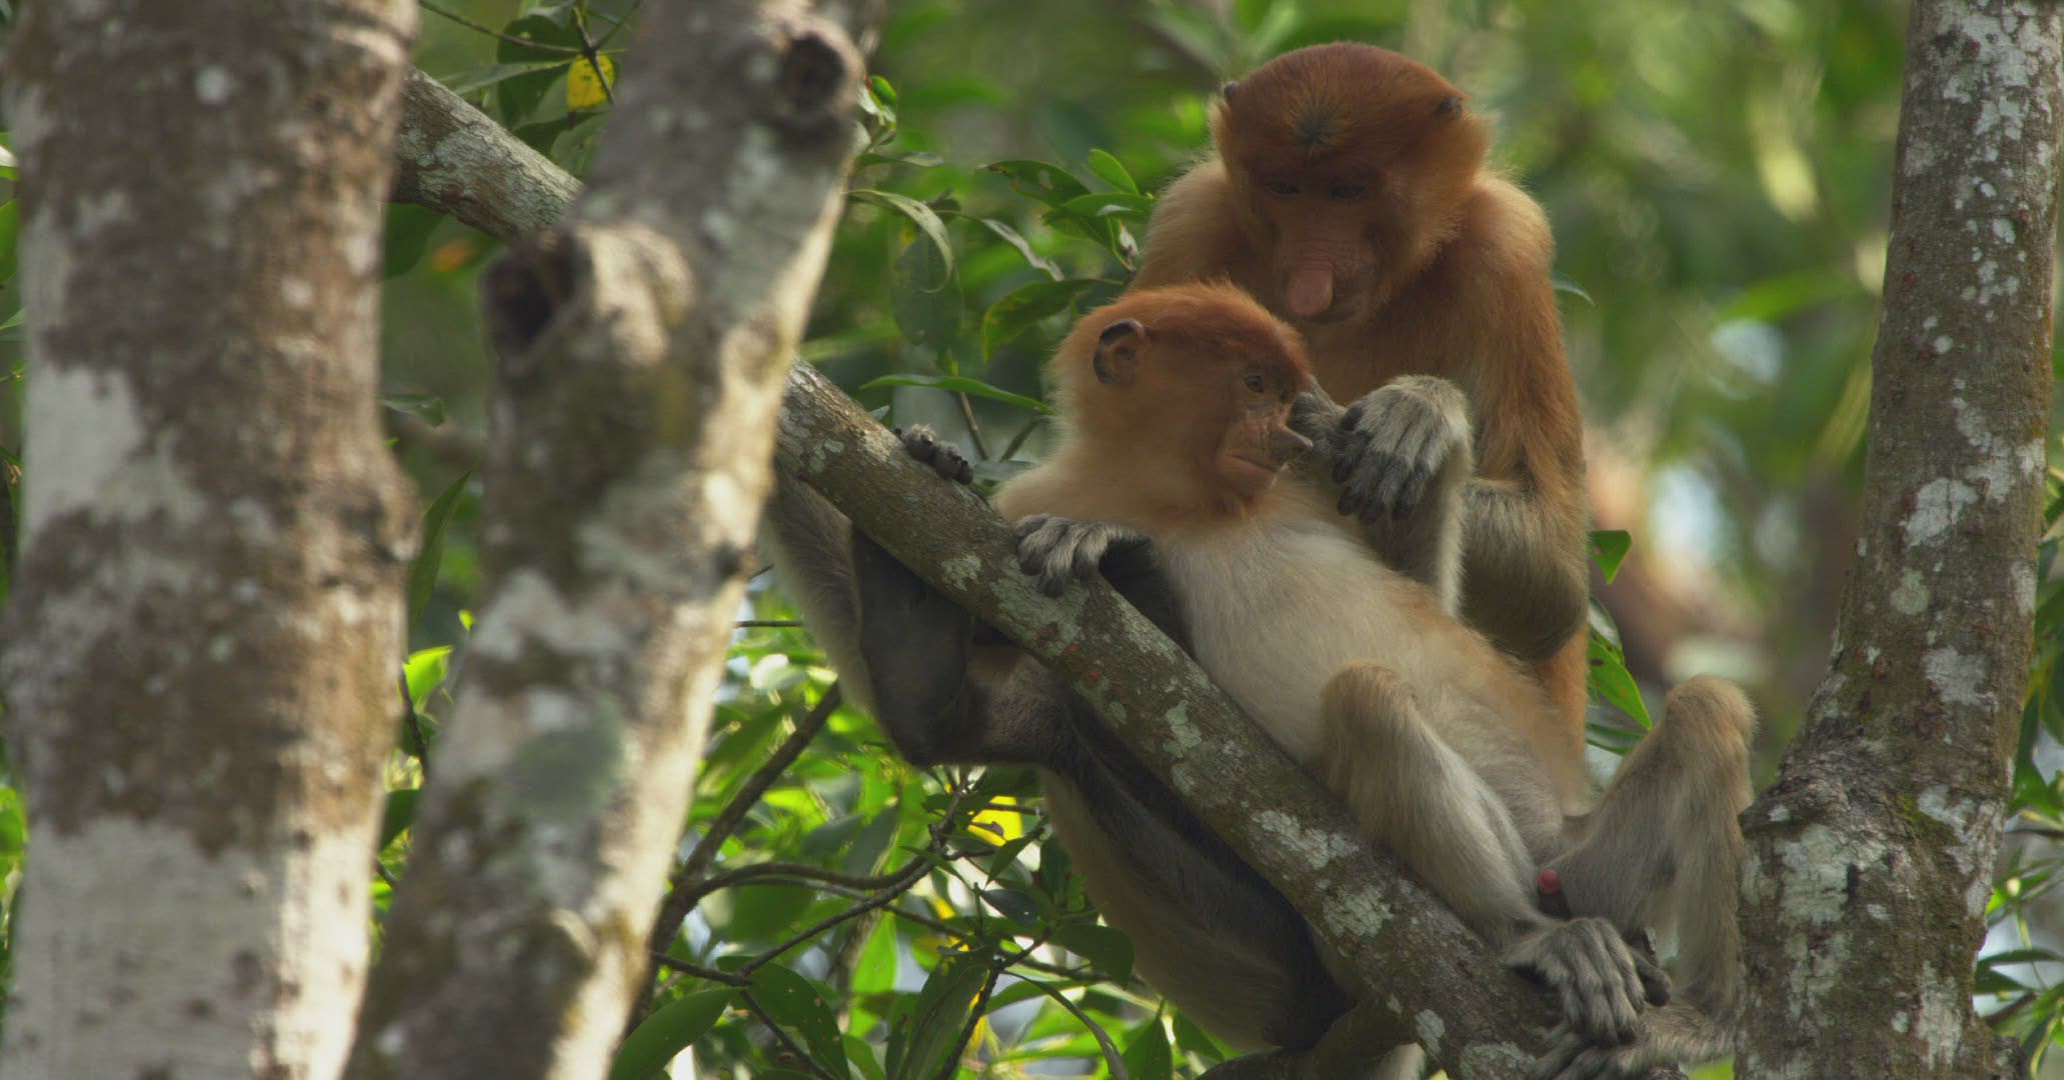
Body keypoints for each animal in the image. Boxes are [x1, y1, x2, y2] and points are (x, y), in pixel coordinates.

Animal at [832, 285, 1755, 1079]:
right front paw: (954, 482)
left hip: (1590, 858)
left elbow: (1429, 593)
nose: (1284, 427)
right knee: (1367, 697)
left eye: (1283, 395)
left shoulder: (1306, 475)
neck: (1180, 496)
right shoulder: (1022, 507)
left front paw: (1418, 416)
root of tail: (1552, 861)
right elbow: (937, 719)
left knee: (1706, 709)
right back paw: (1526, 938)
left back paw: (1698, 1016)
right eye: (1252, 384)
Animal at [1129, 43, 1593, 757]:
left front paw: (1395, 418)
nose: (1311, 276)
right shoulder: (1193, 219)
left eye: (1348, 191)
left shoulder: (1506, 249)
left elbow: (1554, 578)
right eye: (1284, 188)